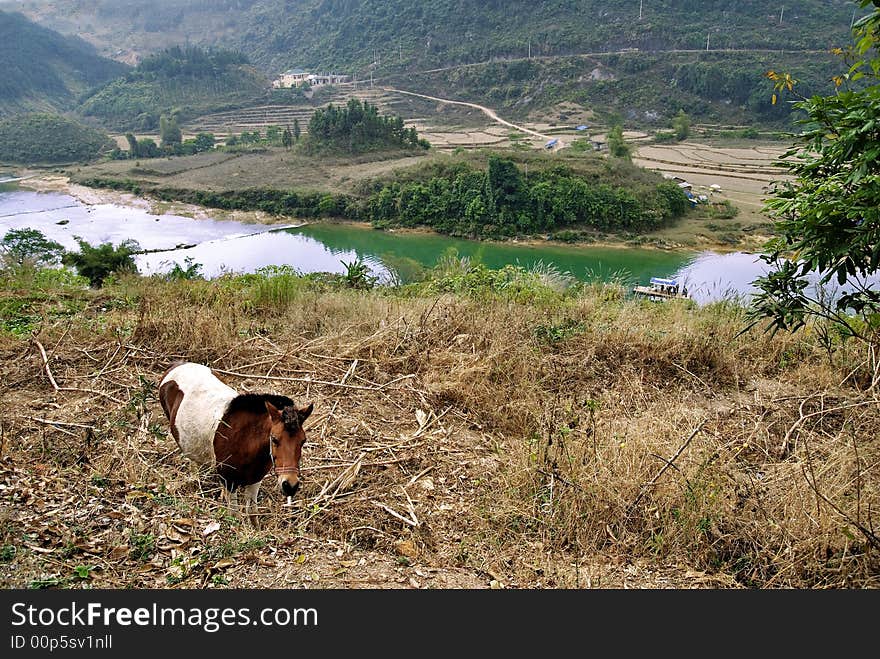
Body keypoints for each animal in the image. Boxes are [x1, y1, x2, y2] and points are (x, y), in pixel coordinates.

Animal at [160, 360, 314, 524]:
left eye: (303, 441)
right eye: (274, 439)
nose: (290, 485)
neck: (244, 441)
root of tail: (177, 365)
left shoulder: (255, 479)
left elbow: (252, 513)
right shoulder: (229, 481)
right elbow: (234, 515)